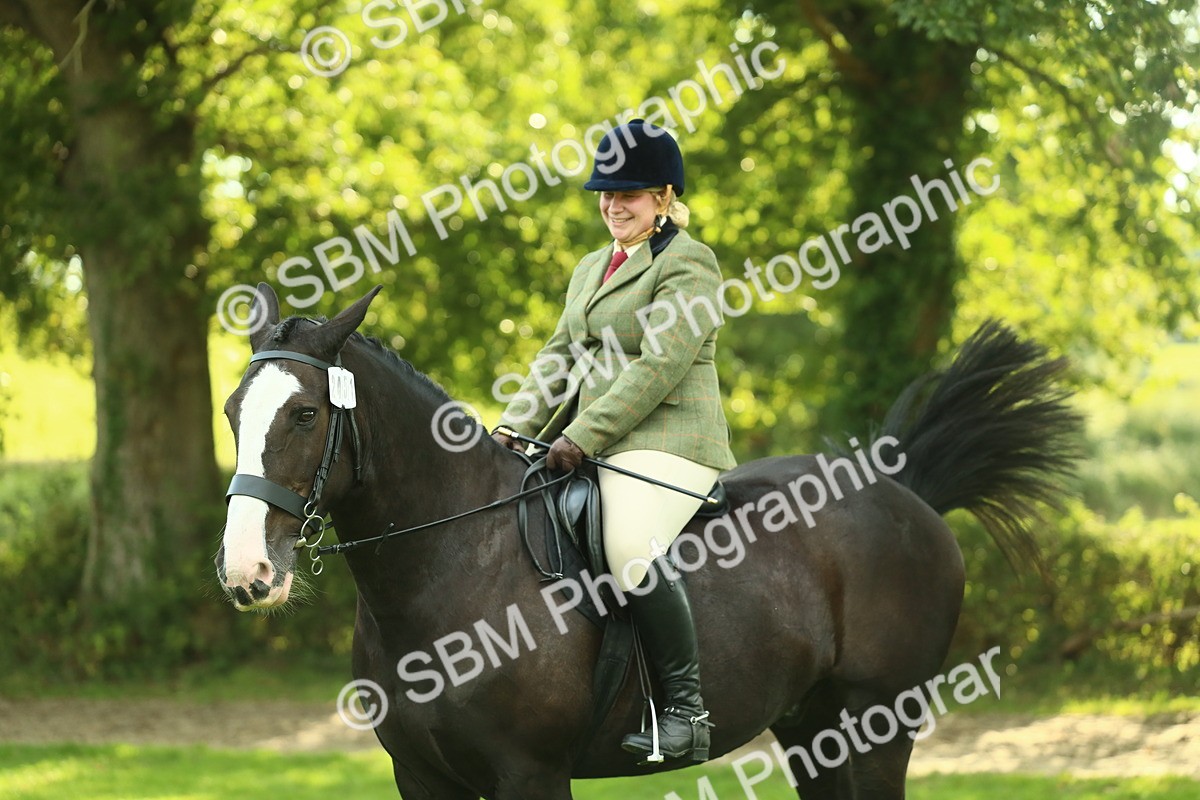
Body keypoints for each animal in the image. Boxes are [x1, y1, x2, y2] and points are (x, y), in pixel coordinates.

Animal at [215, 283, 1078, 799]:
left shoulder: (529, 774)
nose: (247, 571)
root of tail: (904, 488)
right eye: (231, 411)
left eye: (305, 415)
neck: (451, 567)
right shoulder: (422, 776)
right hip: (816, 727)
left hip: (880, 723)